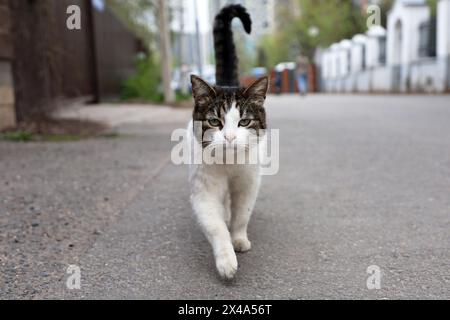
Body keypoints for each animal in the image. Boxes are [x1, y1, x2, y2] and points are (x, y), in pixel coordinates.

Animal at [187, 5, 268, 280]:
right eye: (215, 121)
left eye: (244, 122)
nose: (230, 137)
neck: (229, 164)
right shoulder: (204, 192)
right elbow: (216, 226)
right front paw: (226, 260)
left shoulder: (249, 183)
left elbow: (242, 214)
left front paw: (239, 239)